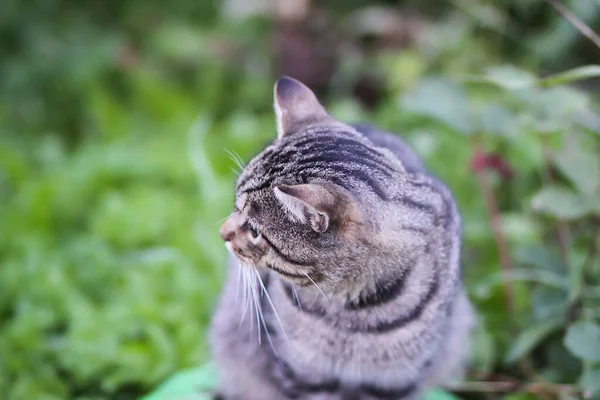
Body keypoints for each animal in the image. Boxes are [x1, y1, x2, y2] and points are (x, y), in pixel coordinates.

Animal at [210, 76, 474, 398]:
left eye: (255, 231)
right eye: (235, 207)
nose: (222, 233)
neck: (352, 313)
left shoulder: (392, 382)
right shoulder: (303, 373)